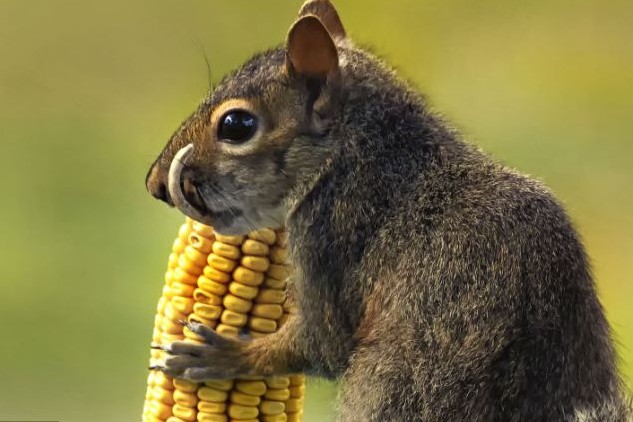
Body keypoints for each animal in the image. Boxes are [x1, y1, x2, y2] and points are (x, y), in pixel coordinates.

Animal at [146, 1, 628, 420]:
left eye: (236, 125)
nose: (156, 184)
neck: (365, 150)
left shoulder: (328, 235)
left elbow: (324, 342)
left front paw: (227, 355)